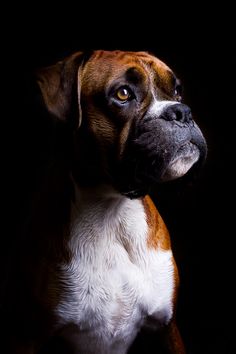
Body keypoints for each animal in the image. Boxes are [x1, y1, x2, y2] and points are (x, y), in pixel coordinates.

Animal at [5, 50, 206, 354]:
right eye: (123, 94)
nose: (181, 111)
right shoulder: (27, 337)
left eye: (176, 91)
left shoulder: (167, 326)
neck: (112, 212)